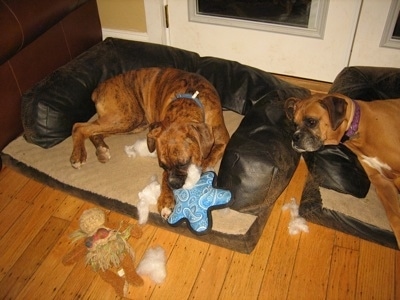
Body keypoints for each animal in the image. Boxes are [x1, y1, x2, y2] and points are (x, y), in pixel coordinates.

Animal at [70, 67, 230, 218]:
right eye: (162, 166)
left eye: (184, 163)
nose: (174, 185)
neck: (189, 99)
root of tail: (99, 87)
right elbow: (165, 177)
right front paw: (165, 200)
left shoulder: (223, 141)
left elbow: (207, 159)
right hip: (127, 117)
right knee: (80, 126)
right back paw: (78, 155)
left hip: (134, 122)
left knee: (92, 131)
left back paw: (101, 150)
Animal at [284, 93, 400, 246]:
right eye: (295, 124)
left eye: (311, 122)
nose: (294, 137)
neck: (357, 127)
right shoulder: (382, 183)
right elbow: (395, 218)